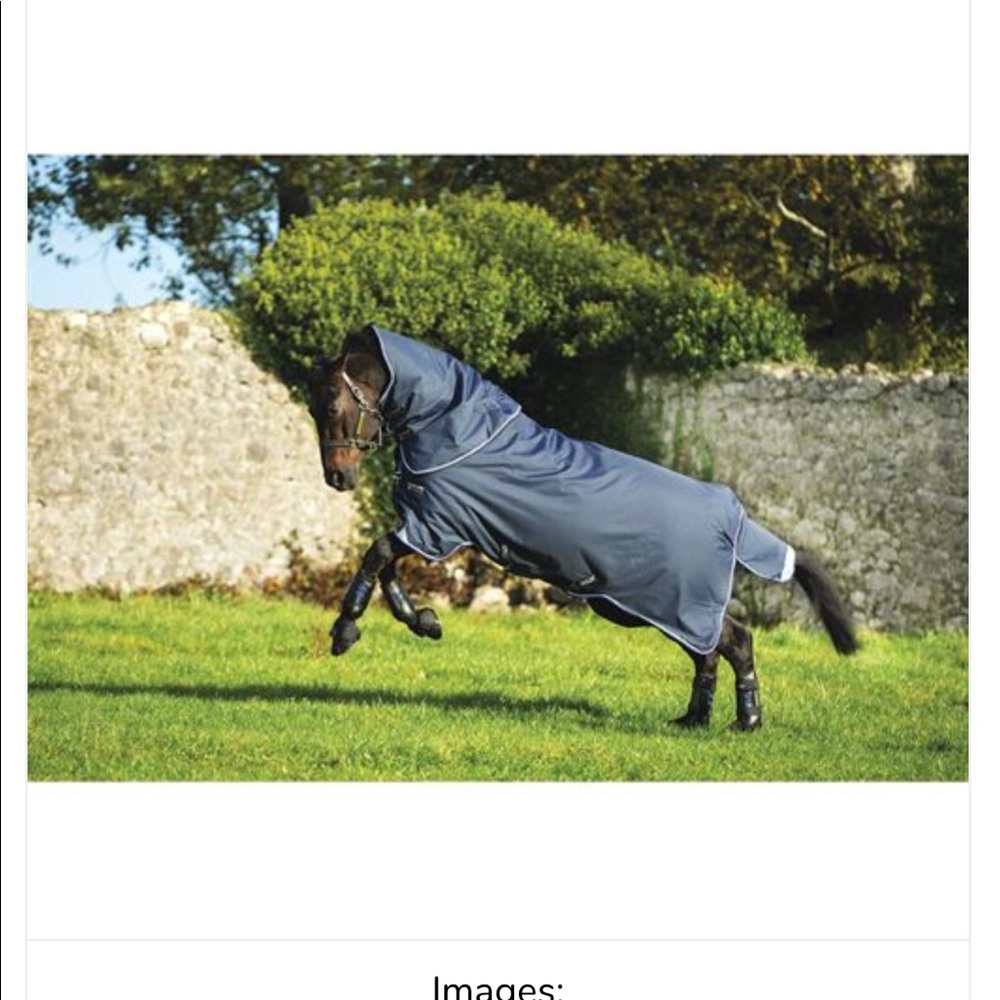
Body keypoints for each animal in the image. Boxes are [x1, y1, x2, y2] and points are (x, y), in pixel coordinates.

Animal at [308, 324, 858, 731]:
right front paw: (424, 621)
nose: (338, 478)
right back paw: (693, 719)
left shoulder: (438, 526)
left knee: (736, 641)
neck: (460, 432)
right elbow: (385, 568)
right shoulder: (428, 527)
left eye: (332, 407)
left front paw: (345, 632)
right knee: (706, 653)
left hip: (667, 601)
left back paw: (746, 721)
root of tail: (731, 514)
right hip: (654, 607)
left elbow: (376, 556)